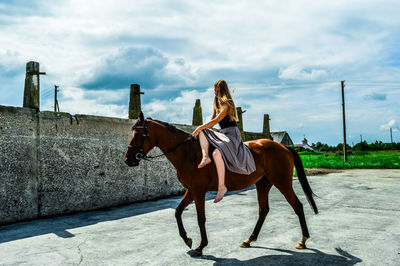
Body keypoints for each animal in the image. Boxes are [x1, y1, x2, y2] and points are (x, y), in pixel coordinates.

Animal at [123, 111, 318, 256]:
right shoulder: (191, 190)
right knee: (264, 210)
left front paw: (201, 246)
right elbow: (178, 212)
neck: (188, 153)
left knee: (297, 206)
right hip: (263, 184)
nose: (128, 159)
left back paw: (303, 240)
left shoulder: (198, 191)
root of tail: (284, 147)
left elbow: (200, 218)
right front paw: (187, 239)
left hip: (282, 182)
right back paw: (250, 239)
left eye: (138, 134)